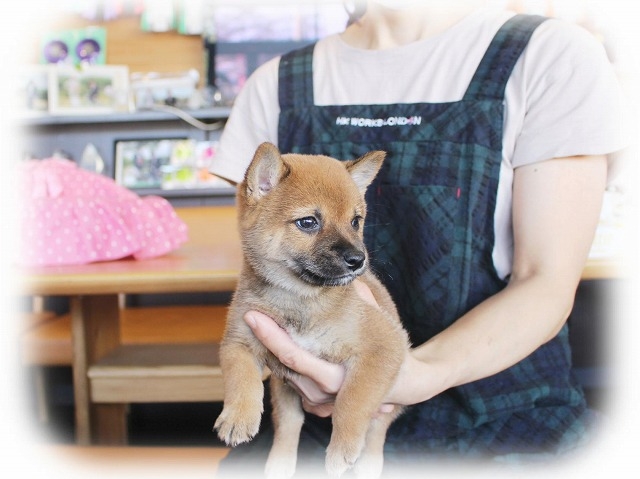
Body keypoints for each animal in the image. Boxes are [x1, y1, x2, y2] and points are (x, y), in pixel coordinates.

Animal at [214, 142, 409, 478]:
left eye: (355, 221)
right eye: (308, 222)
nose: (358, 260)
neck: (299, 298)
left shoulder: (383, 348)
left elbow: (352, 400)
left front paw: (342, 448)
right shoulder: (238, 341)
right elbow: (241, 379)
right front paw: (238, 416)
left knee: (376, 434)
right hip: (283, 389)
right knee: (289, 425)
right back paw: (278, 464)